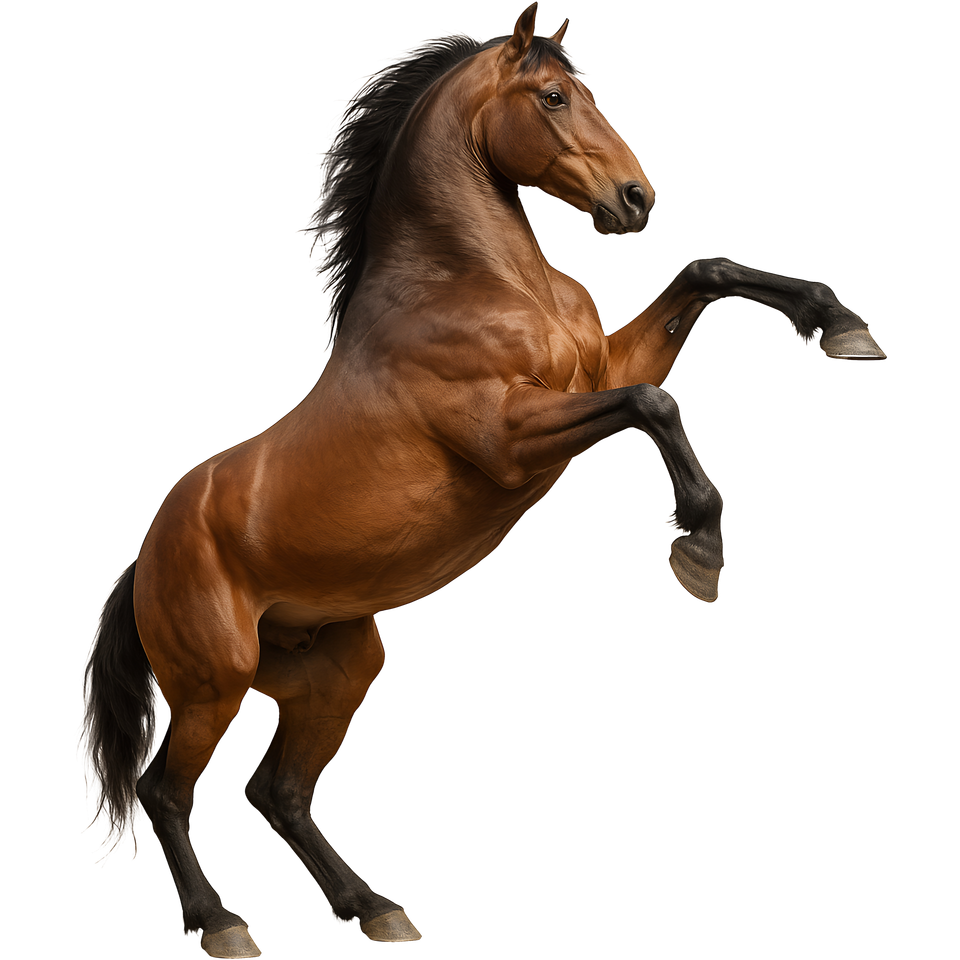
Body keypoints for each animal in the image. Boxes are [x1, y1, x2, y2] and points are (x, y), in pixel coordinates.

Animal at [76, 4, 886, 956]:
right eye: (553, 96)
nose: (635, 201)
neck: (479, 283)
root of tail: (145, 561)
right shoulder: (513, 437)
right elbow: (652, 403)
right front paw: (700, 548)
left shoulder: (599, 367)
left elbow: (702, 277)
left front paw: (842, 328)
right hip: (214, 683)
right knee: (167, 793)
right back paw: (222, 925)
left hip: (336, 671)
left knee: (278, 792)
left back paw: (375, 908)